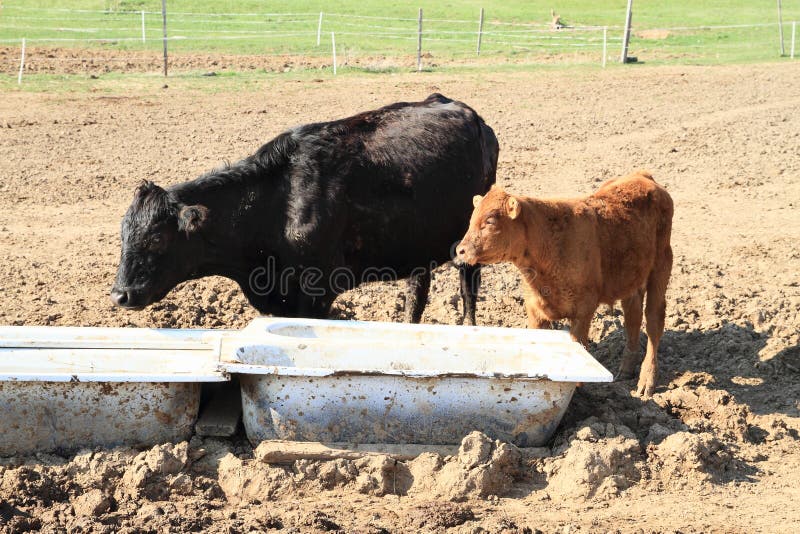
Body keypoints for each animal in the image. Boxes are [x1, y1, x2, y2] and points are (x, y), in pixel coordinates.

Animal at [111, 93, 499, 325]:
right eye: (124, 237)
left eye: (158, 238)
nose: (120, 294)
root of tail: (463, 109)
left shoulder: (317, 293)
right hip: (417, 242)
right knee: (417, 291)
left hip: (469, 242)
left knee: (468, 289)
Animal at [456, 171, 673, 397]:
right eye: (471, 220)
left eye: (490, 221)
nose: (460, 249)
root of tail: (642, 176)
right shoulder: (535, 313)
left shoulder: (582, 313)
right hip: (632, 278)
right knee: (633, 317)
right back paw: (626, 370)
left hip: (661, 265)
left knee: (653, 321)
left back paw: (647, 380)